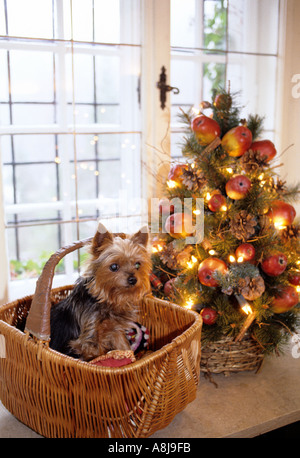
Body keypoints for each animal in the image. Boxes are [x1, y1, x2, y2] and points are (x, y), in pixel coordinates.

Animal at [50, 223, 152, 362]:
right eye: (114, 266)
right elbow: (96, 353)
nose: (133, 279)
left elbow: (123, 345)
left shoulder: (115, 330)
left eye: (137, 265)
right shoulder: (87, 339)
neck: (106, 300)